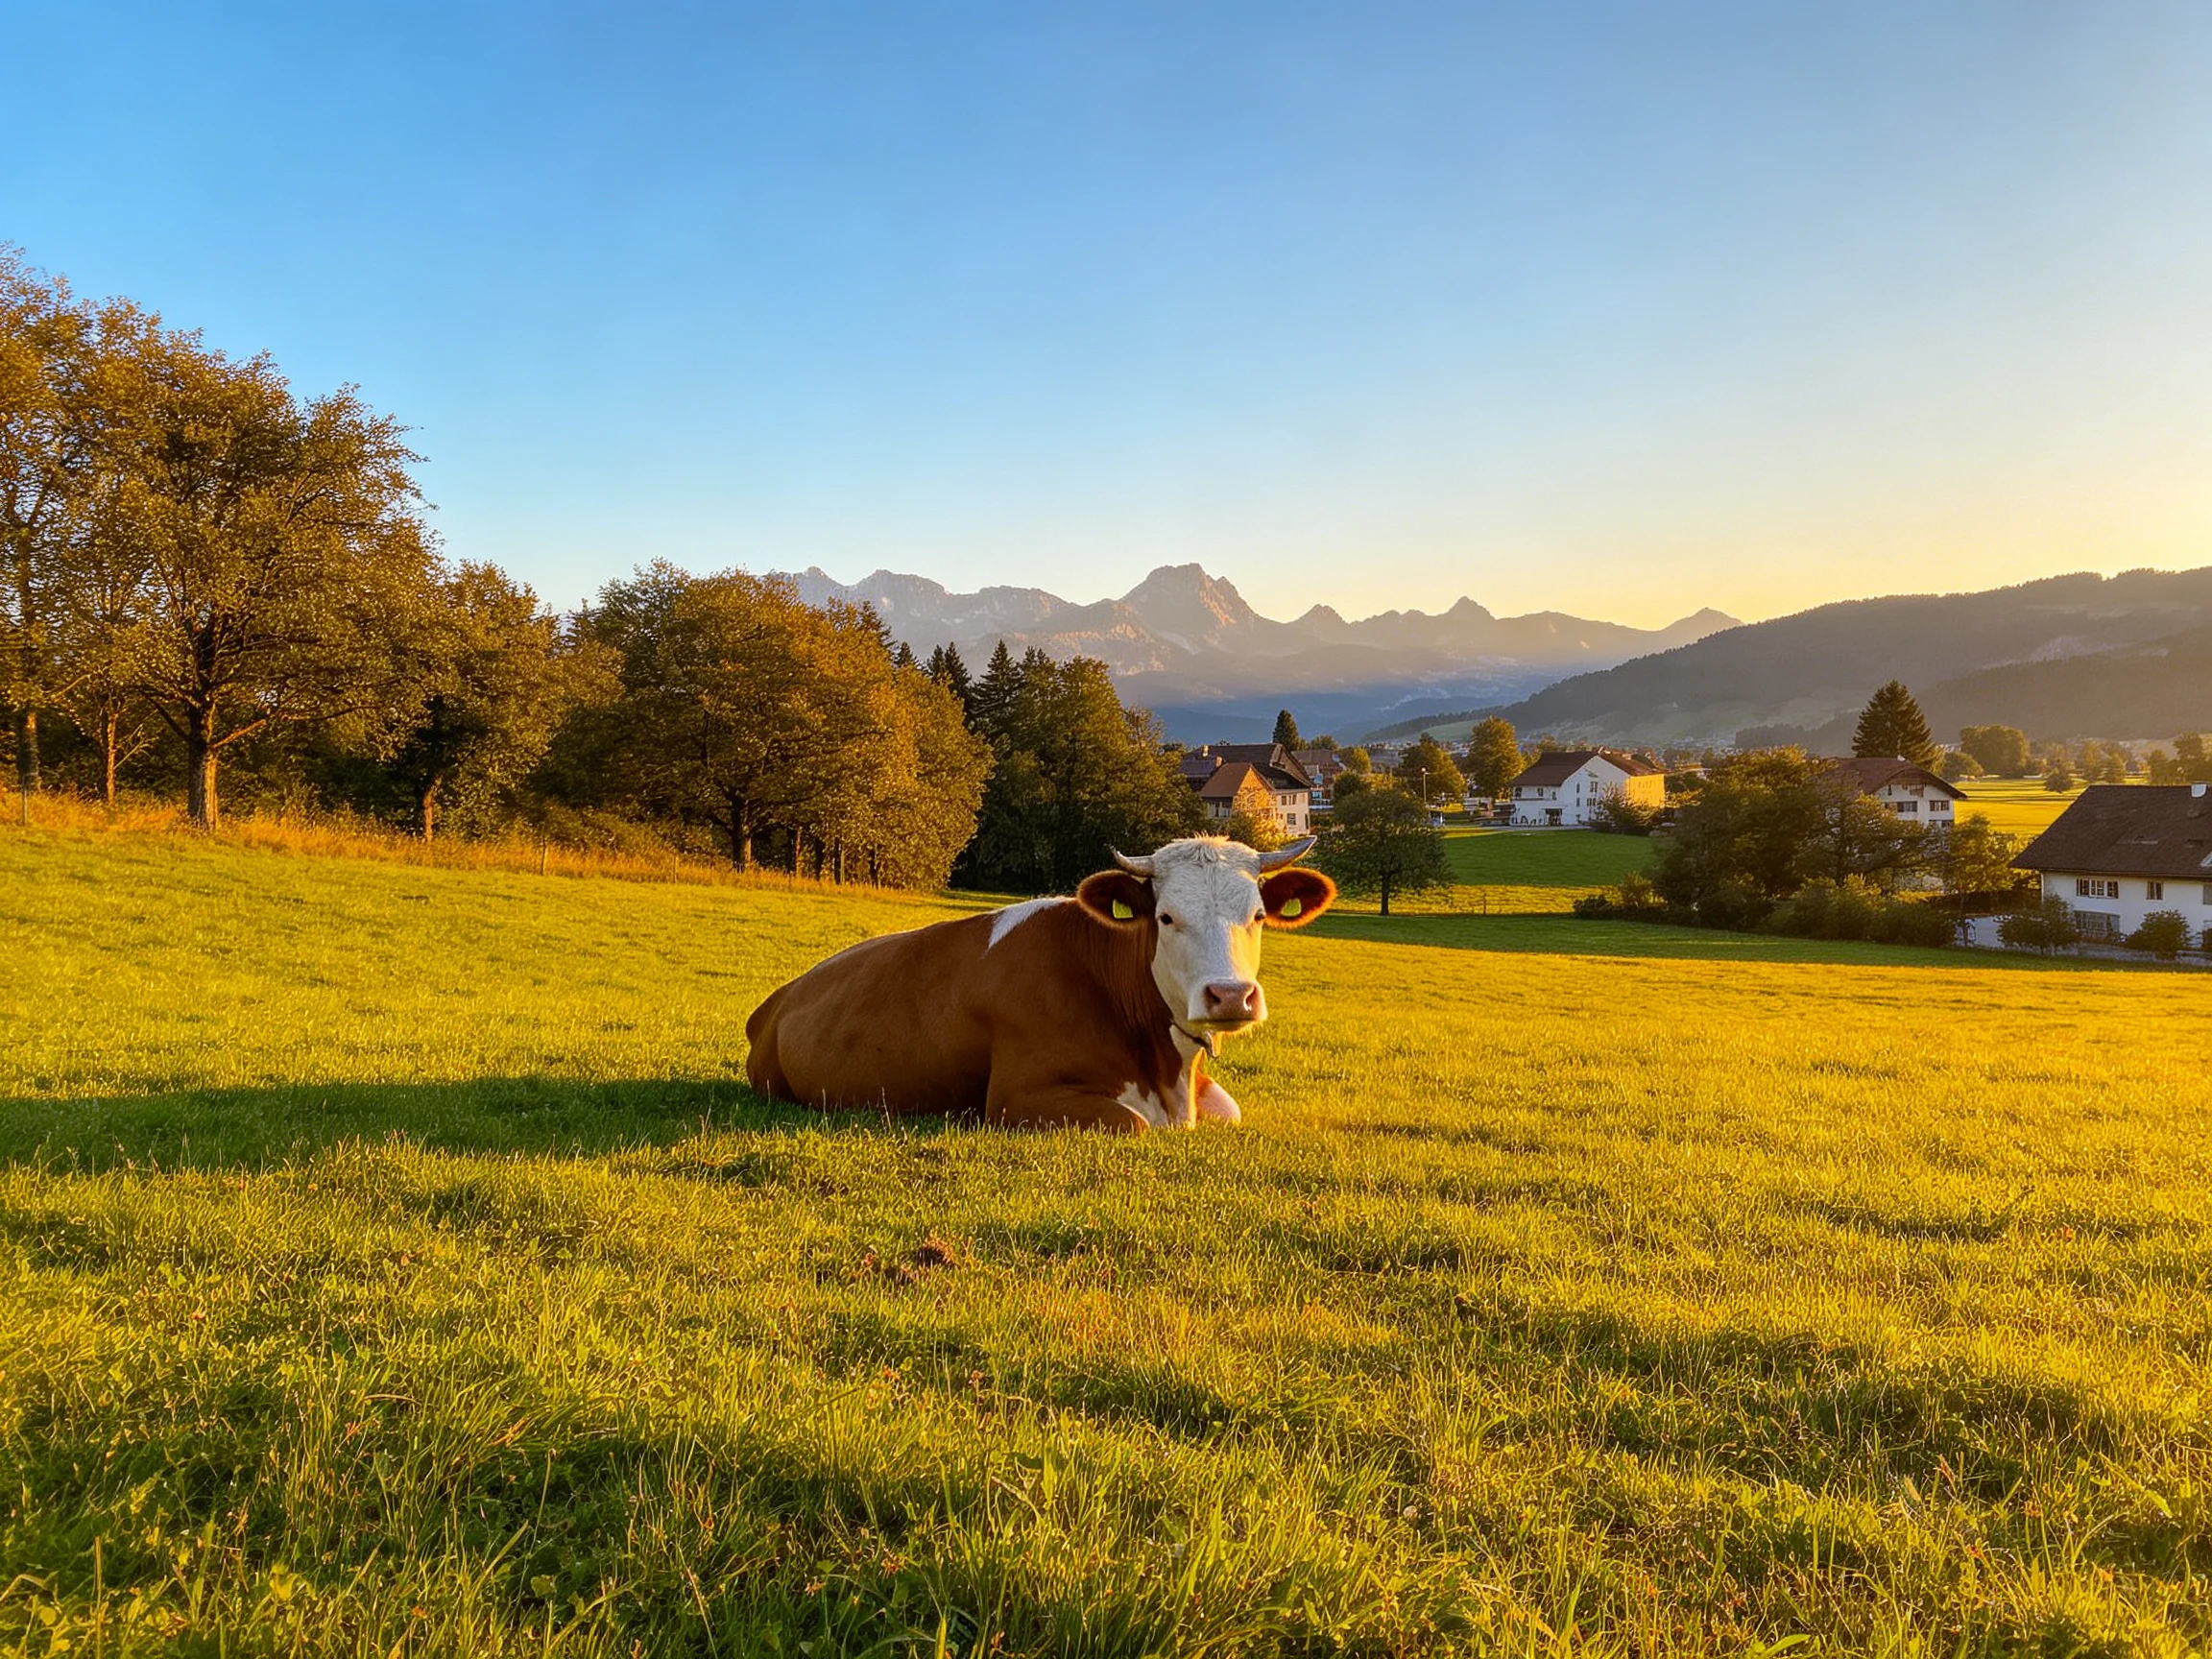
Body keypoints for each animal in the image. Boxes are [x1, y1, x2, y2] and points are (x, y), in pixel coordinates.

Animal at [744, 835, 1336, 1132]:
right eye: (1166, 917)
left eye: (1258, 915)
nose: (1230, 995)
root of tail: (782, 995)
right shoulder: (1015, 1098)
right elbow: (1133, 1124)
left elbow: (1230, 1112)